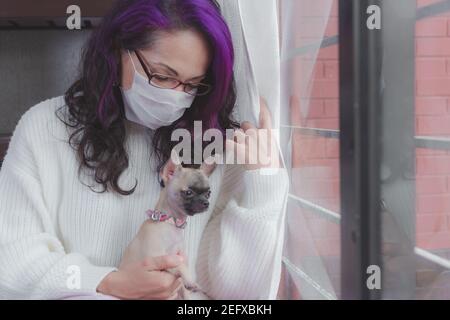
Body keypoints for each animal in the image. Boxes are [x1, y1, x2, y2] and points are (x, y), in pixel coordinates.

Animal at [120, 151, 215, 300]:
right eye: (189, 192)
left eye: (208, 194)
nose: (206, 203)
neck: (170, 222)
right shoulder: (161, 259)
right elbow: (180, 266)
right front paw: (190, 280)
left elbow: (184, 289)